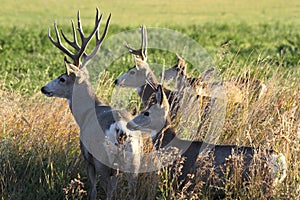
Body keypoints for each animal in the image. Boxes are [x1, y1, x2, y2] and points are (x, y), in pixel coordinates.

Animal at [41, 8, 143, 199]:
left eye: (62, 78)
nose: (44, 88)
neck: (86, 112)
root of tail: (121, 129)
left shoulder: (87, 156)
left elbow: (93, 188)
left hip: (102, 159)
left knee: (108, 191)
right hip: (135, 161)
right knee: (131, 191)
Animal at [126, 84, 286, 197]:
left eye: (146, 113)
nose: (129, 124)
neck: (173, 147)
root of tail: (280, 160)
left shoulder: (182, 182)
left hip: (264, 185)